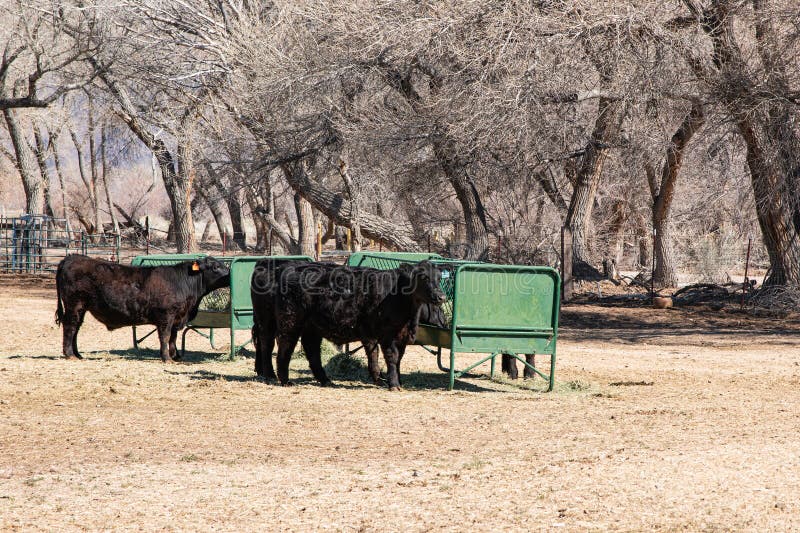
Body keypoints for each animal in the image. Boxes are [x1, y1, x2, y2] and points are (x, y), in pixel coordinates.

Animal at [55, 254, 230, 362]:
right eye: (215, 267)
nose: (229, 274)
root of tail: (72, 257)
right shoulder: (166, 316)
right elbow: (165, 336)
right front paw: (167, 358)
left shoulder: (177, 317)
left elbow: (173, 338)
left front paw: (175, 356)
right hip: (74, 305)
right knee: (70, 327)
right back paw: (69, 354)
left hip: (81, 308)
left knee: (76, 328)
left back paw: (78, 354)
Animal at [251, 260, 445, 390]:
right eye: (423, 277)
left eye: (438, 277)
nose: (441, 296)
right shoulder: (386, 335)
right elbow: (391, 357)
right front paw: (393, 384)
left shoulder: (399, 336)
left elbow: (393, 358)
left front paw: (392, 380)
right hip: (285, 321)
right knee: (278, 345)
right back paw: (281, 378)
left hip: (310, 325)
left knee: (311, 349)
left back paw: (324, 379)